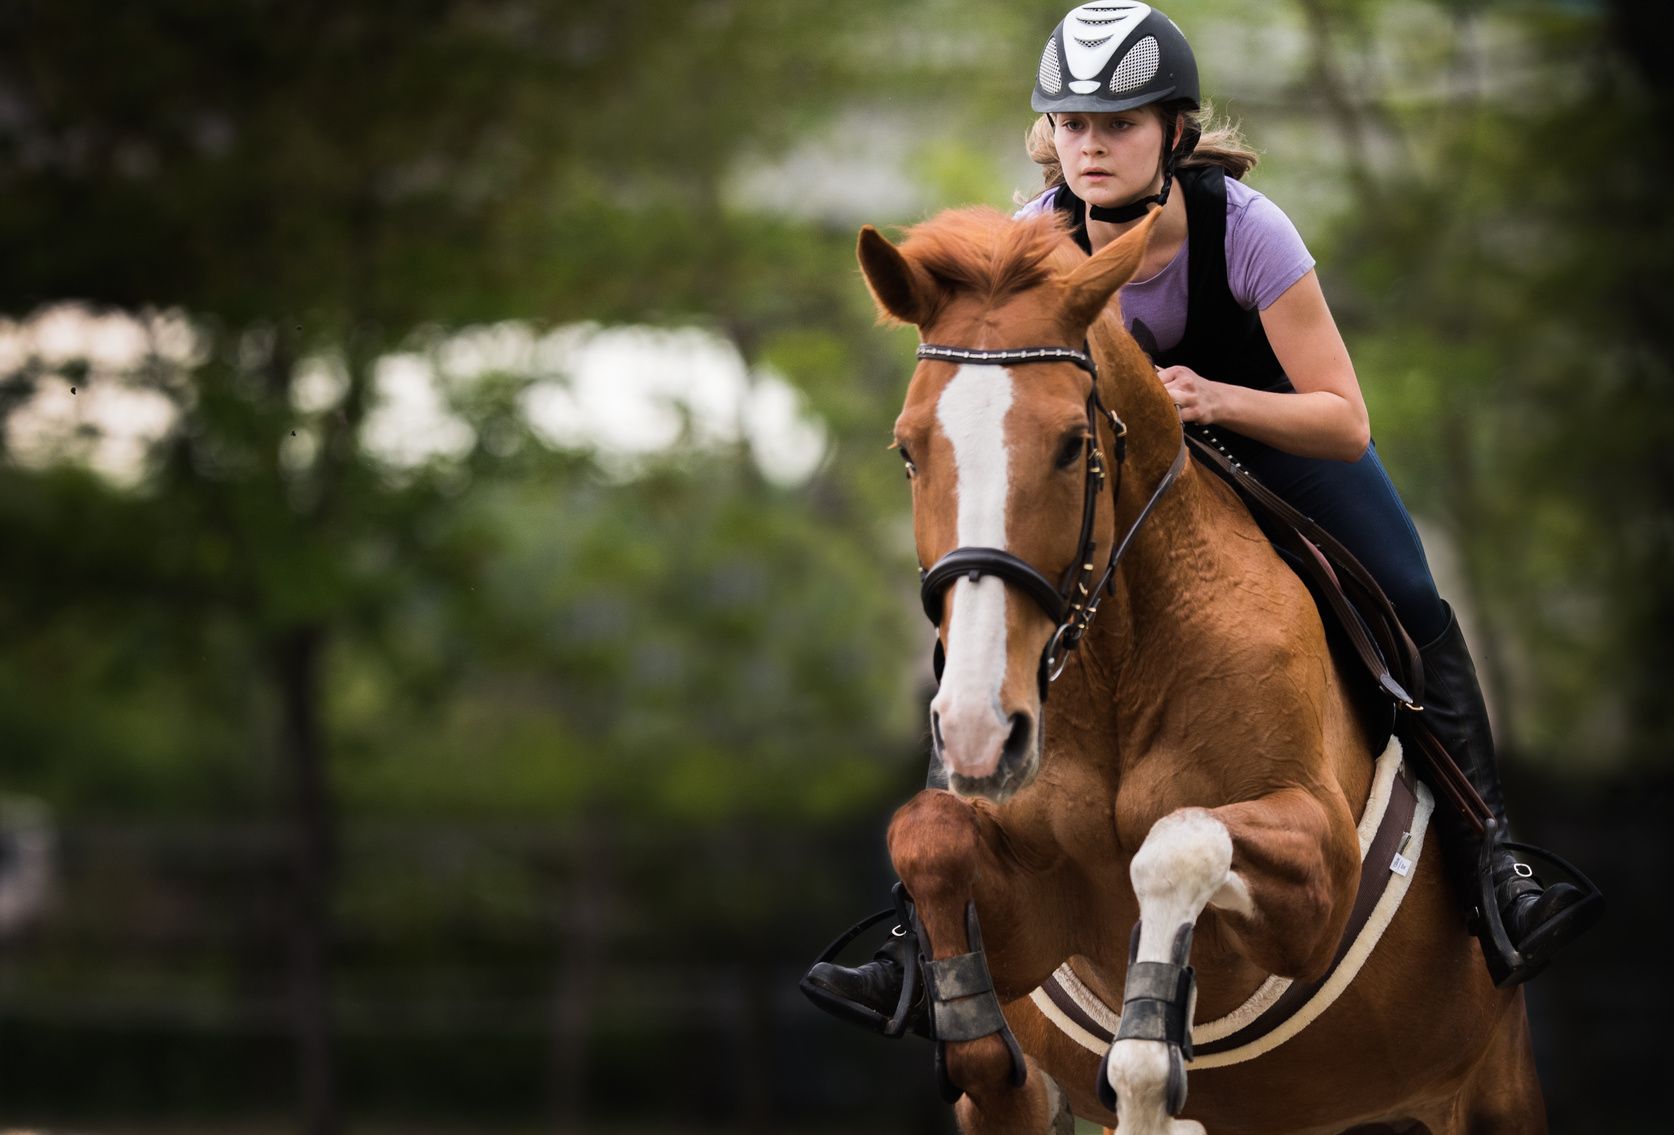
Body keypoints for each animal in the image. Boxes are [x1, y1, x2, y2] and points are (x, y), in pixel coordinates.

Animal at [852, 204, 1544, 1134]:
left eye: (1072, 446)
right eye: (908, 451)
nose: (976, 730)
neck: (1115, 668)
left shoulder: (1318, 881)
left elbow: (1174, 848)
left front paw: (1153, 1065)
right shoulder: (1030, 915)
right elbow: (928, 839)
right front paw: (977, 1044)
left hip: (1489, 1088)